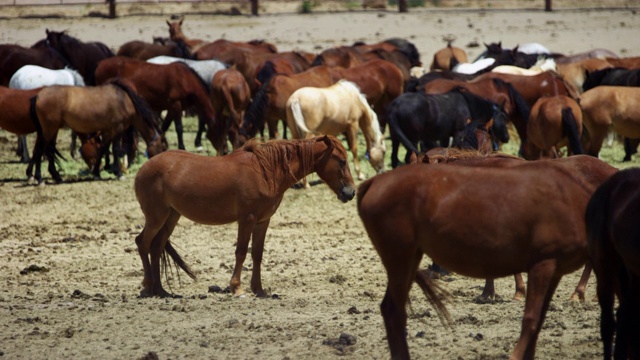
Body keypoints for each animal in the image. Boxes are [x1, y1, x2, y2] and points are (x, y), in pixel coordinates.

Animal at [28, 80, 169, 184]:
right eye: (163, 148)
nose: (160, 167)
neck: (124, 101)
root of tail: (38, 96)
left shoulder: (108, 131)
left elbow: (102, 149)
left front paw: (96, 173)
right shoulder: (117, 129)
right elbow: (116, 150)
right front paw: (119, 173)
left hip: (51, 130)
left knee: (46, 150)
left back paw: (53, 177)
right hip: (49, 129)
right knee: (40, 149)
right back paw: (39, 178)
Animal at [133, 135, 358, 298]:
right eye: (341, 161)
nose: (351, 192)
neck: (266, 171)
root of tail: (144, 168)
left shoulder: (262, 221)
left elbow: (257, 254)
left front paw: (259, 289)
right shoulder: (247, 219)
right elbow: (241, 252)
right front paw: (237, 288)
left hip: (171, 216)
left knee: (156, 246)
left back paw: (161, 291)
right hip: (156, 217)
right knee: (142, 243)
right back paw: (148, 287)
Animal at [358, 158, 596, 360]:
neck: (571, 200)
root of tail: (375, 181)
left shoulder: (554, 272)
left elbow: (537, 324)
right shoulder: (542, 265)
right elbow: (530, 320)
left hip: (409, 260)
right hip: (400, 259)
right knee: (394, 312)